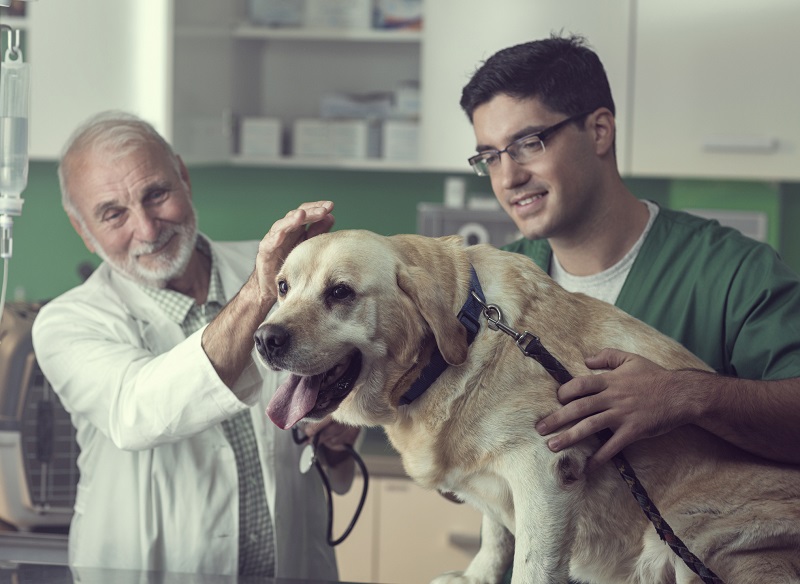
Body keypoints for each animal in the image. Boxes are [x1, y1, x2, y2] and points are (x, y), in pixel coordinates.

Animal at [255, 230, 800, 584]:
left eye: (340, 292)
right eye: (282, 287)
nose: (264, 338)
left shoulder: (545, 471)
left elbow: (531, 562)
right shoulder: (499, 479)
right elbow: (494, 534)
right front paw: (476, 576)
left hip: (689, 537)